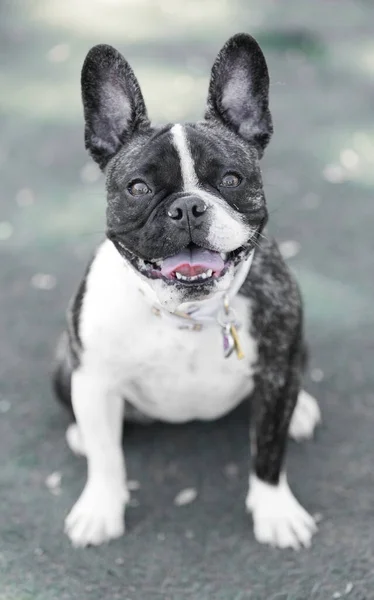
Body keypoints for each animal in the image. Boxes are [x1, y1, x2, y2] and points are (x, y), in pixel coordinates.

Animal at [53, 31, 322, 548]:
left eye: (232, 180)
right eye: (138, 187)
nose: (189, 208)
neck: (189, 315)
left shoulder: (276, 372)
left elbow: (269, 453)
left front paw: (276, 511)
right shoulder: (94, 379)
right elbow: (107, 458)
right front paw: (100, 509)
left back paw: (300, 411)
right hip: (66, 365)